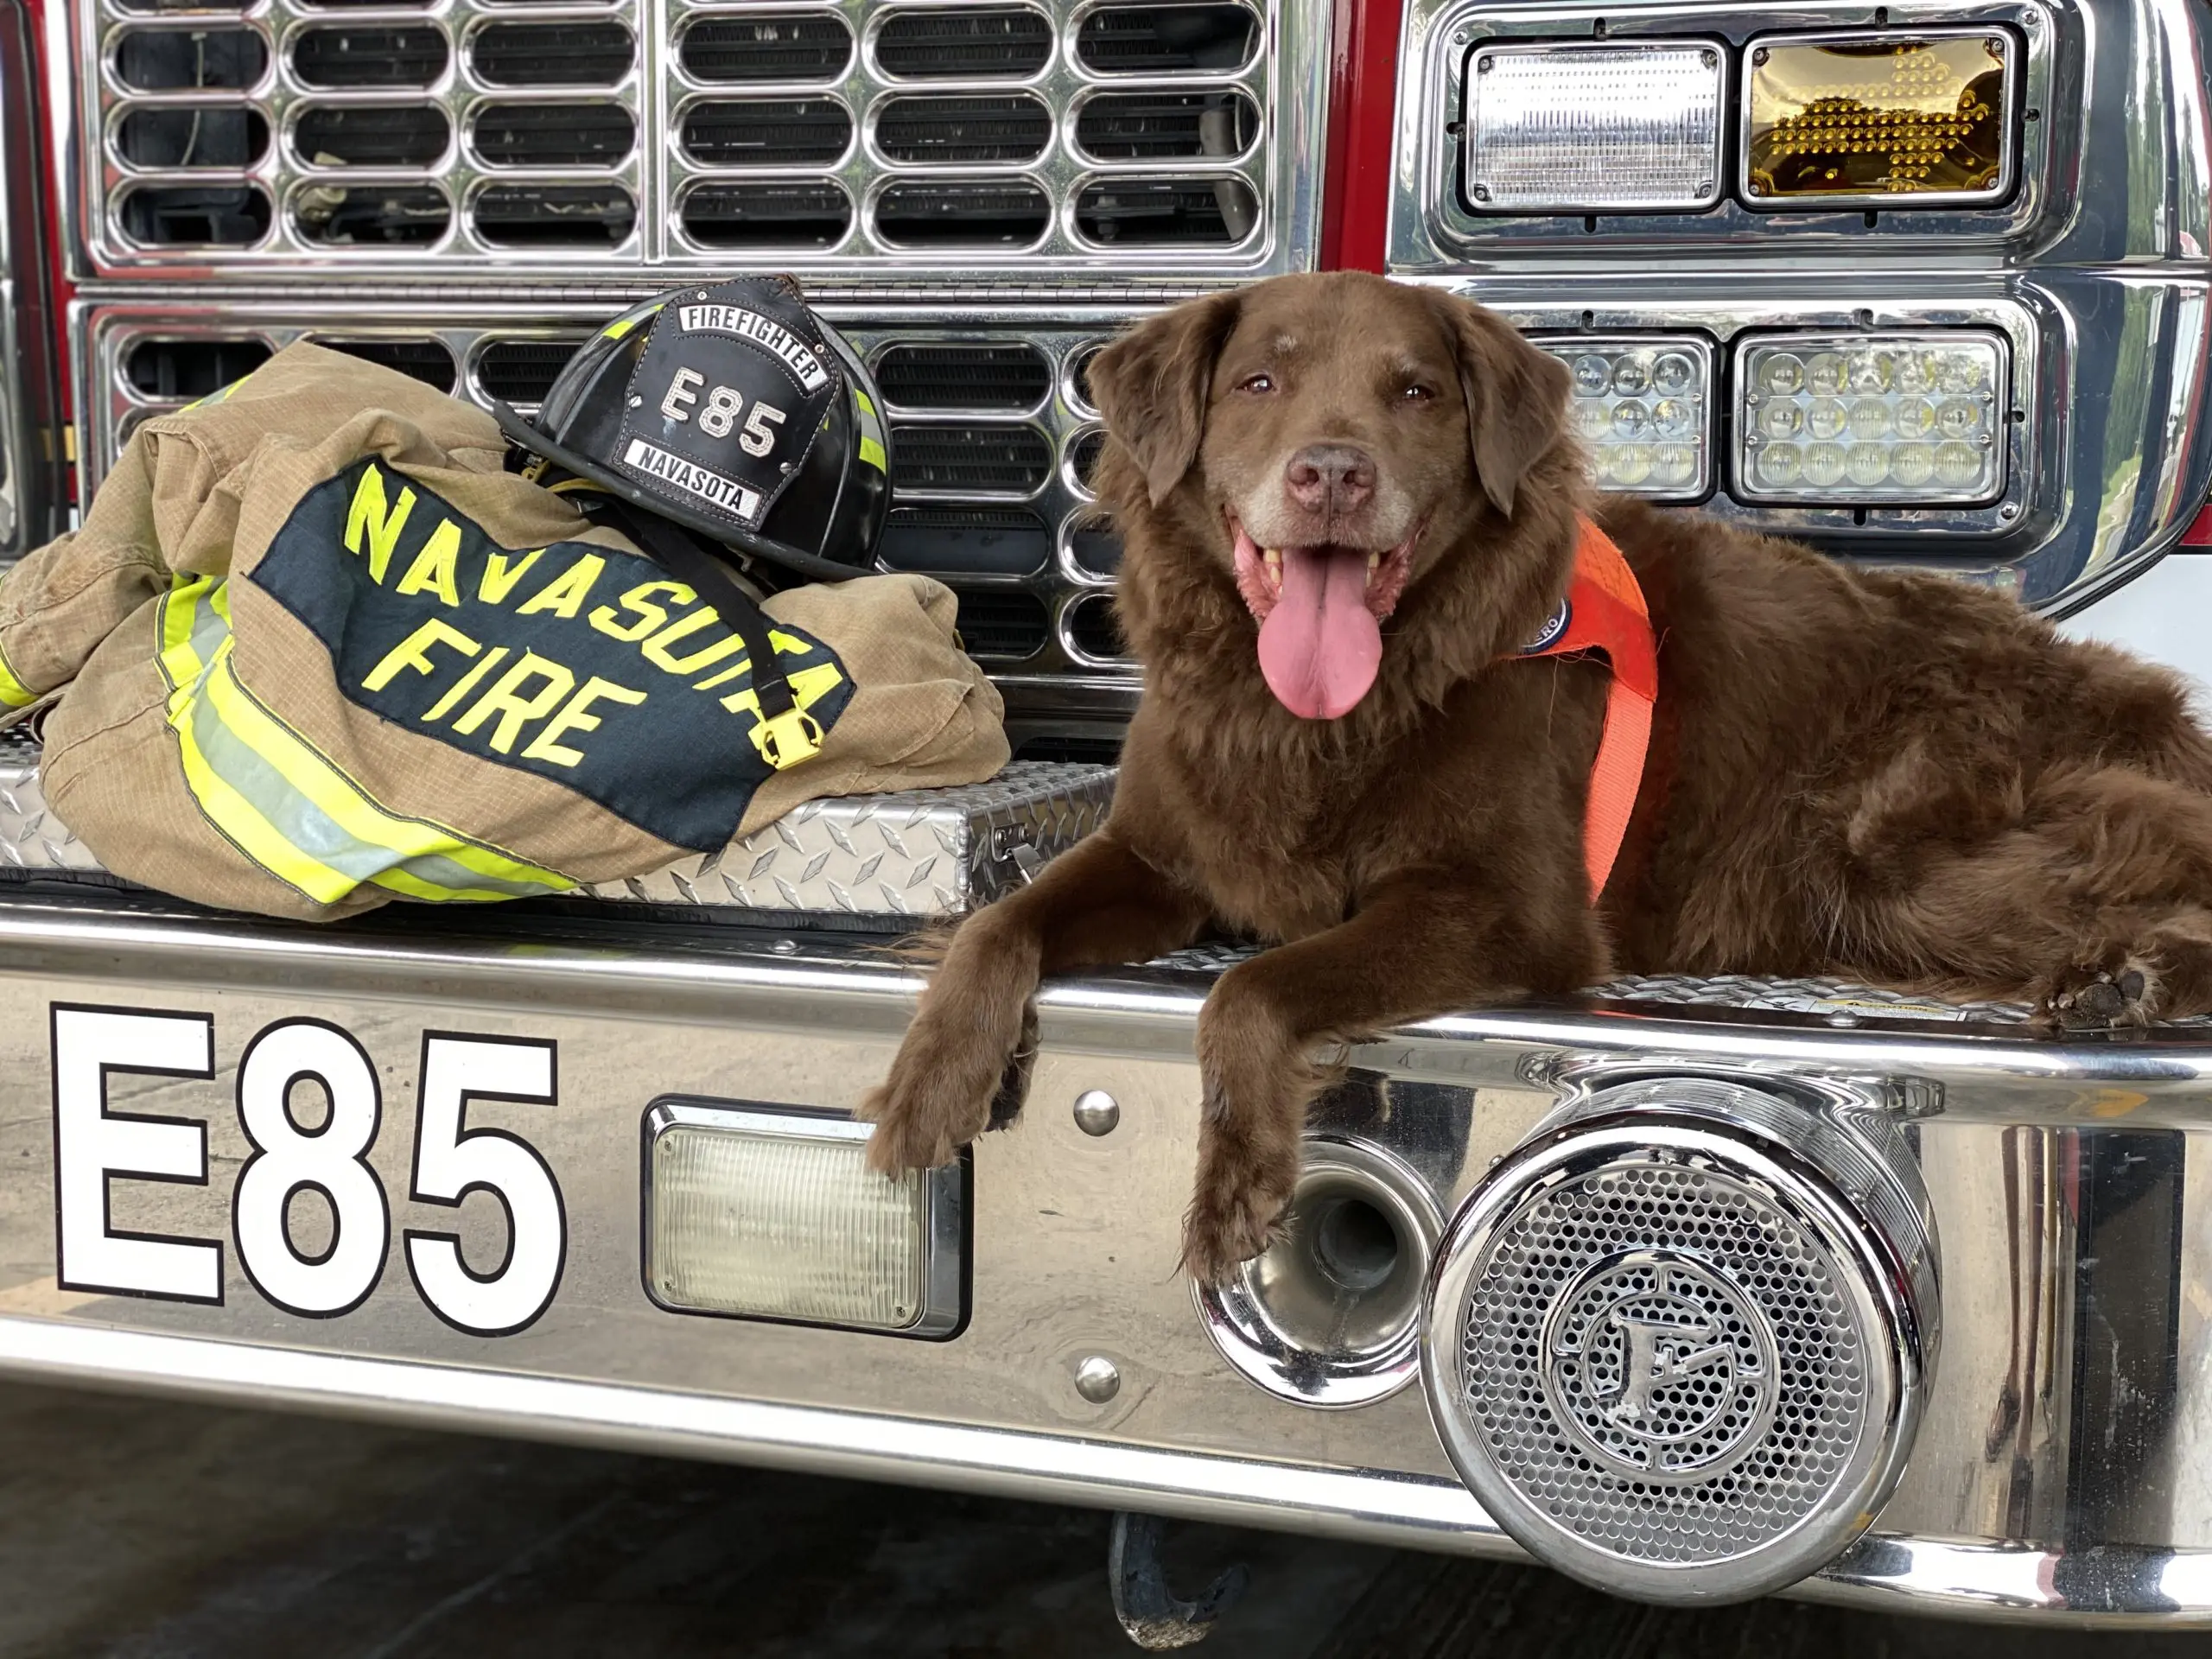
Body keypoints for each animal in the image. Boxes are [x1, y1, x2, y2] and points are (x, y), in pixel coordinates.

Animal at [854, 273, 2212, 1282]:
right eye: (1258, 382)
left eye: (1414, 392)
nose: (1332, 473)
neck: (1318, 720)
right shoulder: (1159, 853)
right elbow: (997, 923)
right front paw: (927, 1083)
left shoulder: (1502, 907)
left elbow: (1250, 986)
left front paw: (1233, 1187)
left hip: (1893, 850)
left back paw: (2125, 980)